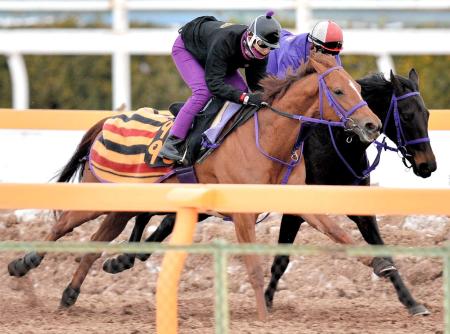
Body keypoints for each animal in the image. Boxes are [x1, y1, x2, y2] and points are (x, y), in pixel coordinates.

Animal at [7, 52, 380, 320]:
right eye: (338, 90)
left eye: (358, 88)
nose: (372, 125)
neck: (265, 138)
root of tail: (109, 119)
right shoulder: (242, 214)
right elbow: (254, 268)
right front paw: (262, 318)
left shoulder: (298, 200)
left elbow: (338, 233)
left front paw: (380, 264)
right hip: (97, 193)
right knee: (62, 225)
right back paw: (22, 264)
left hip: (124, 205)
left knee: (96, 242)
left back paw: (69, 294)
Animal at [102, 68, 436, 316]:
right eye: (407, 115)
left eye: (428, 114)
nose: (428, 165)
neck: (333, 142)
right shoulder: (294, 208)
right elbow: (281, 260)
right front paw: (266, 301)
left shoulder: (356, 206)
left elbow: (380, 248)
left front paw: (412, 302)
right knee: (146, 214)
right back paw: (122, 258)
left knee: (164, 222)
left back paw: (126, 258)